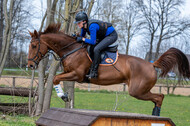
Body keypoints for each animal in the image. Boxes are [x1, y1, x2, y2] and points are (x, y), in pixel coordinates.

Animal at [27, 23, 189, 116]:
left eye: (34, 46)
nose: (30, 65)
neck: (72, 50)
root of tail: (151, 64)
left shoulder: (77, 75)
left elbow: (55, 78)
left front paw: (64, 96)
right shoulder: (70, 73)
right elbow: (56, 78)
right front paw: (64, 95)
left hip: (137, 90)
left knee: (159, 97)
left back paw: (156, 116)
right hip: (139, 90)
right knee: (158, 97)